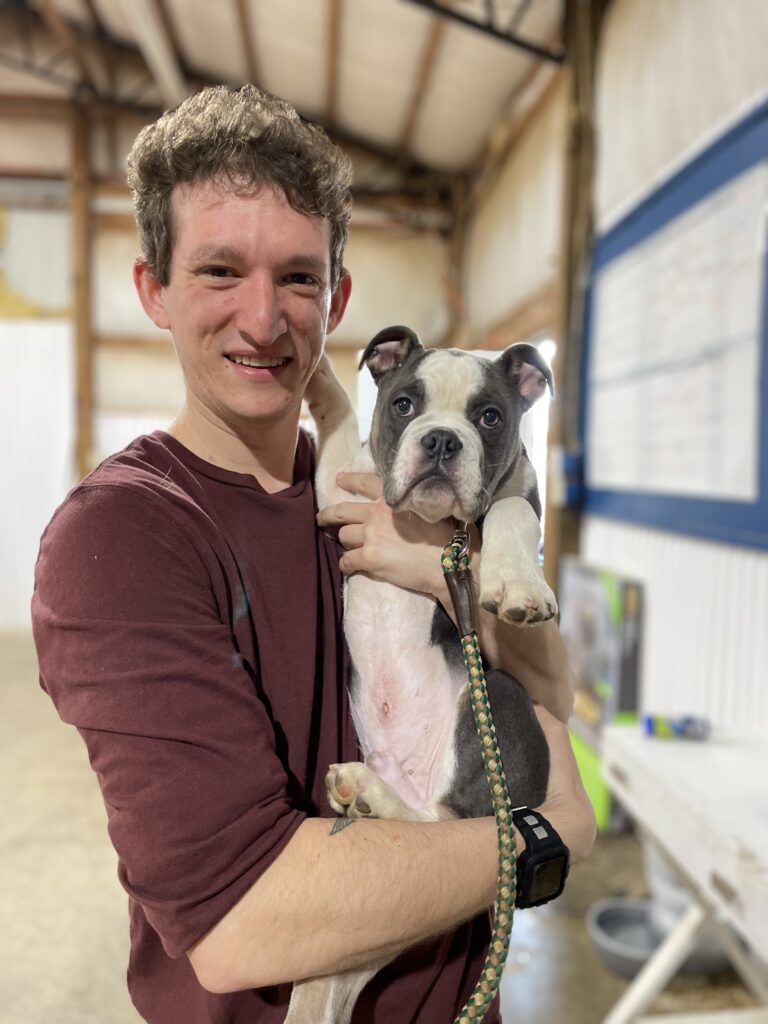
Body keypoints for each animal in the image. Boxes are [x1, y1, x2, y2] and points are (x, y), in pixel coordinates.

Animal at [288, 327, 561, 1024]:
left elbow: (510, 512)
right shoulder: (341, 492)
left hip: (493, 702)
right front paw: (317, 363)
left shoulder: (521, 494)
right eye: (404, 404)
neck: (423, 526)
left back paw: (369, 791)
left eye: (489, 418)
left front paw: (517, 584)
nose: (440, 440)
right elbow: (338, 418)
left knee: (459, 822)